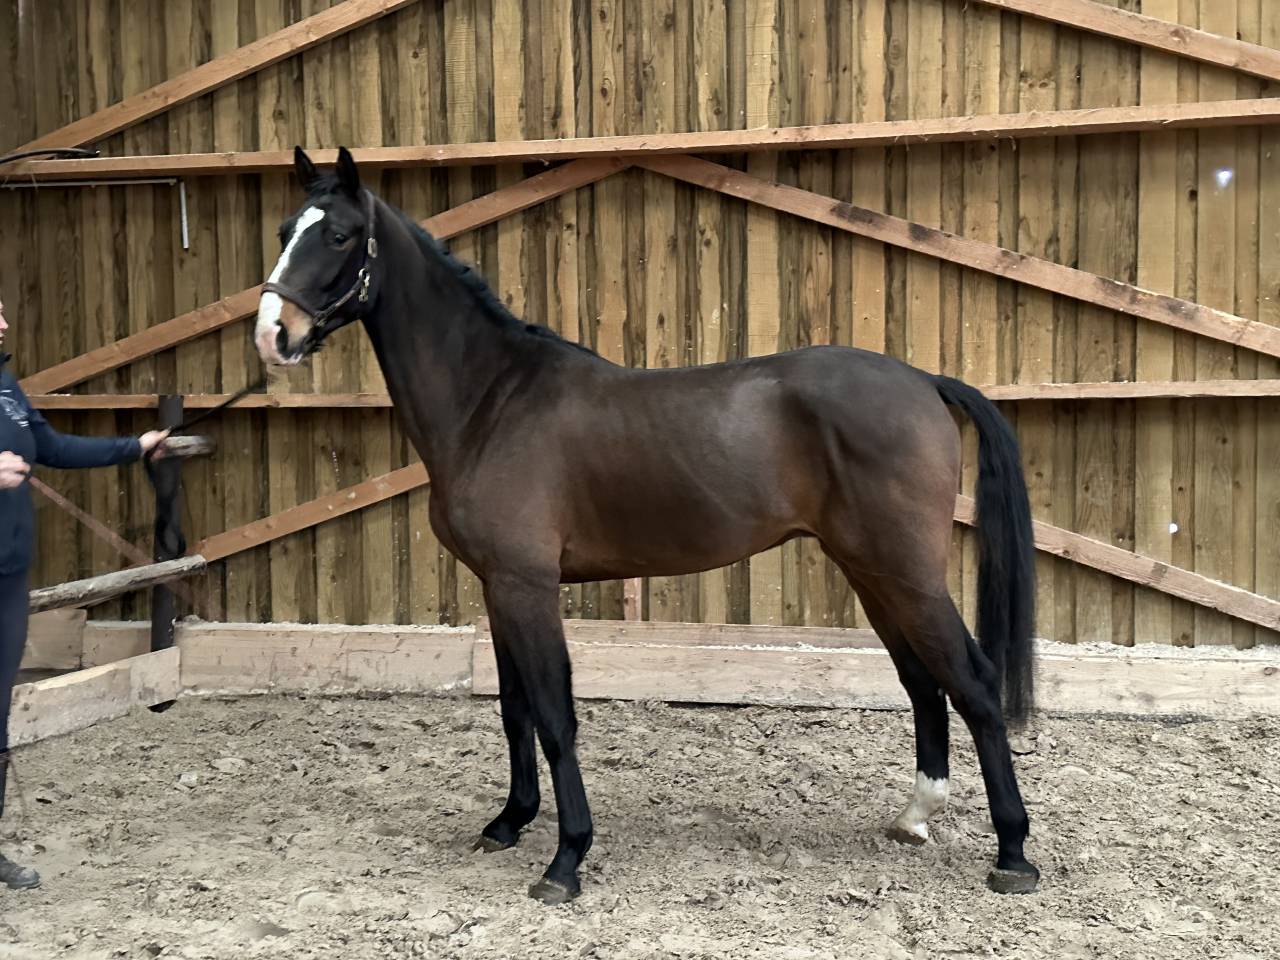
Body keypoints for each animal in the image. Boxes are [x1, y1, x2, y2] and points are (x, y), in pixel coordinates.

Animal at [252, 146, 1040, 903]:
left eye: (338, 234)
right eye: (286, 229)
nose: (272, 335)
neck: (491, 401)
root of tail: (926, 382)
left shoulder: (527, 586)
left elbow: (554, 716)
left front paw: (566, 859)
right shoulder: (498, 589)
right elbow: (513, 710)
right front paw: (509, 822)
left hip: (906, 573)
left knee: (973, 682)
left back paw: (1013, 854)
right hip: (872, 572)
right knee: (922, 680)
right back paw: (915, 817)